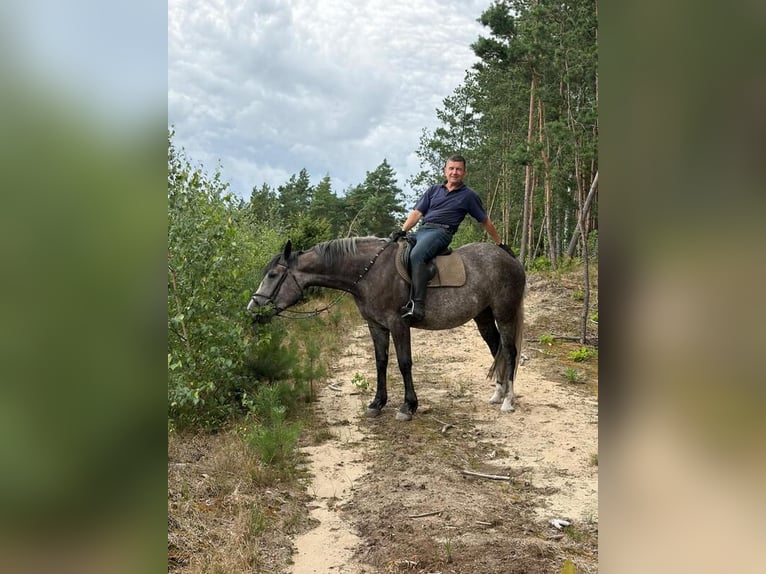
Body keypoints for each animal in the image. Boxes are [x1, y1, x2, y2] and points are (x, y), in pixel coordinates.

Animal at [247, 236, 526, 421]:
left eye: (272, 275)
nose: (252, 309)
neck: (368, 273)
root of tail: (509, 257)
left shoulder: (398, 323)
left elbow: (404, 363)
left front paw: (408, 406)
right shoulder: (376, 325)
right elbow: (381, 361)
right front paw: (377, 403)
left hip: (505, 314)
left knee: (509, 351)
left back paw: (508, 401)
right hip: (484, 317)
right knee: (496, 348)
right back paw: (498, 393)